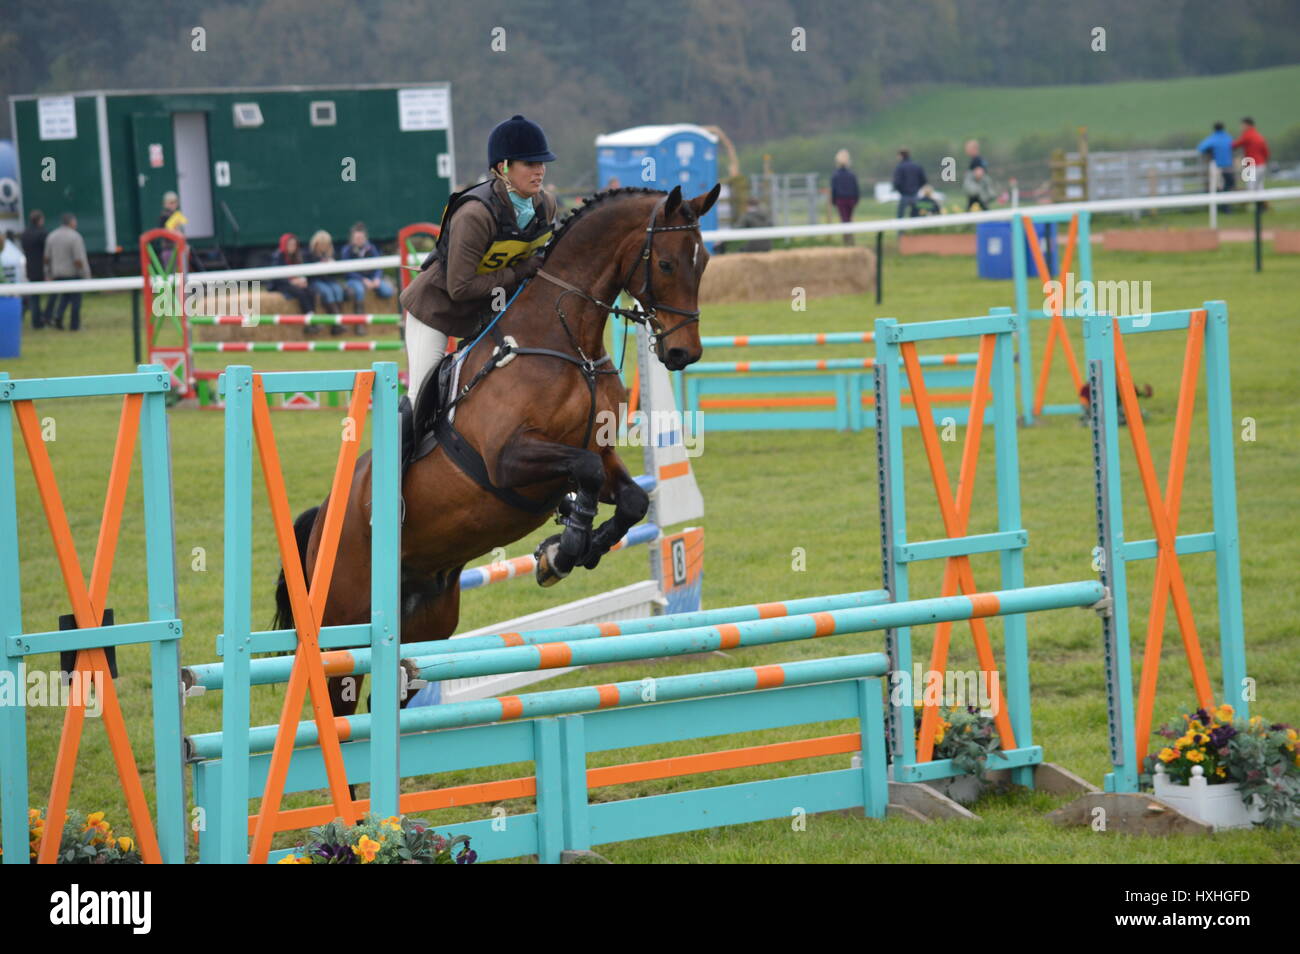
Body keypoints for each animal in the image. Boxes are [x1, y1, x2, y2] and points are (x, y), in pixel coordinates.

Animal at [274, 184, 722, 717]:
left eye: (704, 261)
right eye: (668, 263)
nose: (683, 354)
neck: (566, 340)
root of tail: (321, 518)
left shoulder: (598, 453)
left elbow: (631, 499)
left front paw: (565, 549)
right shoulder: (506, 461)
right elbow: (586, 472)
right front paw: (564, 548)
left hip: (429, 620)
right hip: (342, 626)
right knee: (338, 699)